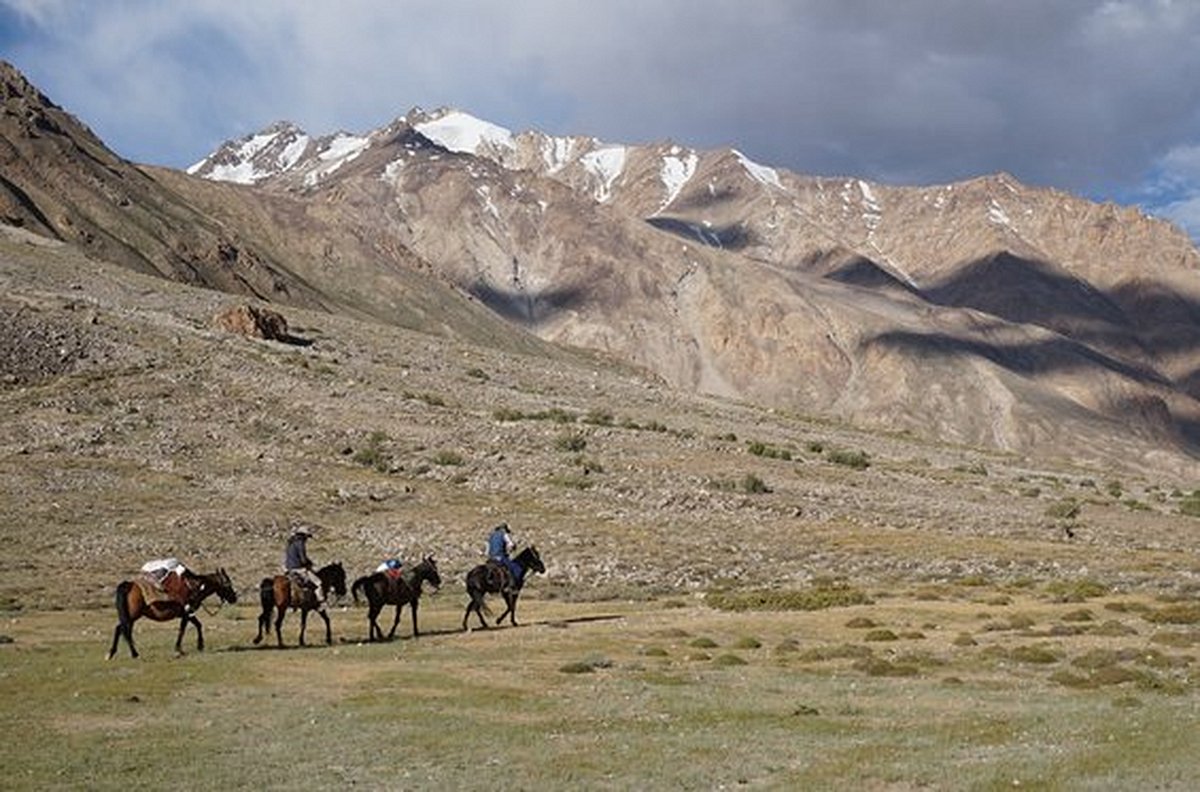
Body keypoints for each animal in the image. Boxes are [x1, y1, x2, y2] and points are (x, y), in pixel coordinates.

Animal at [108, 566, 238, 657]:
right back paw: (133, 654)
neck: (194, 587)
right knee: (123, 629)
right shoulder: (186, 613)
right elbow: (183, 629)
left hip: (130, 616)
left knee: (121, 629)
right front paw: (179, 649)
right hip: (133, 616)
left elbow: (198, 625)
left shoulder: (188, 613)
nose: (234, 598)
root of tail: (128, 585)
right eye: (227, 583)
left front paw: (200, 645)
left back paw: (112, 653)